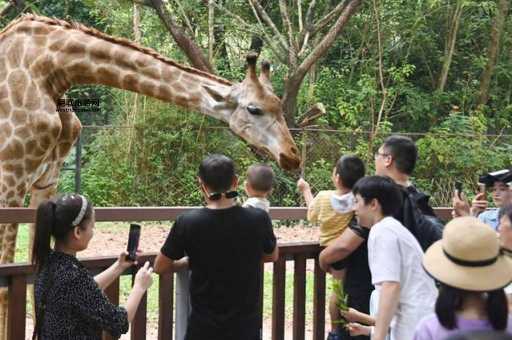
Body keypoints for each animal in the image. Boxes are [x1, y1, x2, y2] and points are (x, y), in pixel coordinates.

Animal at [0, 13, 300, 338]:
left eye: (278, 106)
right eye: (254, 109)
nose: (292, 155)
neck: (52, 68)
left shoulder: (47, 181)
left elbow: (38, 275)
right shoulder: (10, 178)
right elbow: (6, 286)